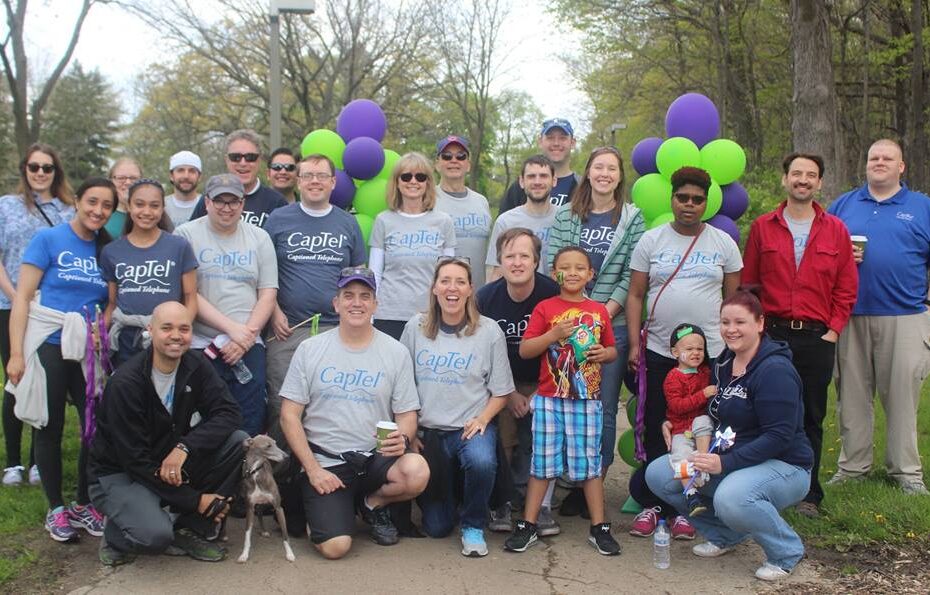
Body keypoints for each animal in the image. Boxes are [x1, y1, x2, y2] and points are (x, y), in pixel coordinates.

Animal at [236, 434, 294, 564]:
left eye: (275, 443)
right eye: (268, 446)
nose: (287, 456)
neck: (255, 472)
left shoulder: (278, 508)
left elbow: (285, 535)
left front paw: (290, 554)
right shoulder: (249, 508)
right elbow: (247, 534)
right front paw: (244, 554)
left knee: (260, 512)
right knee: (259, 512)